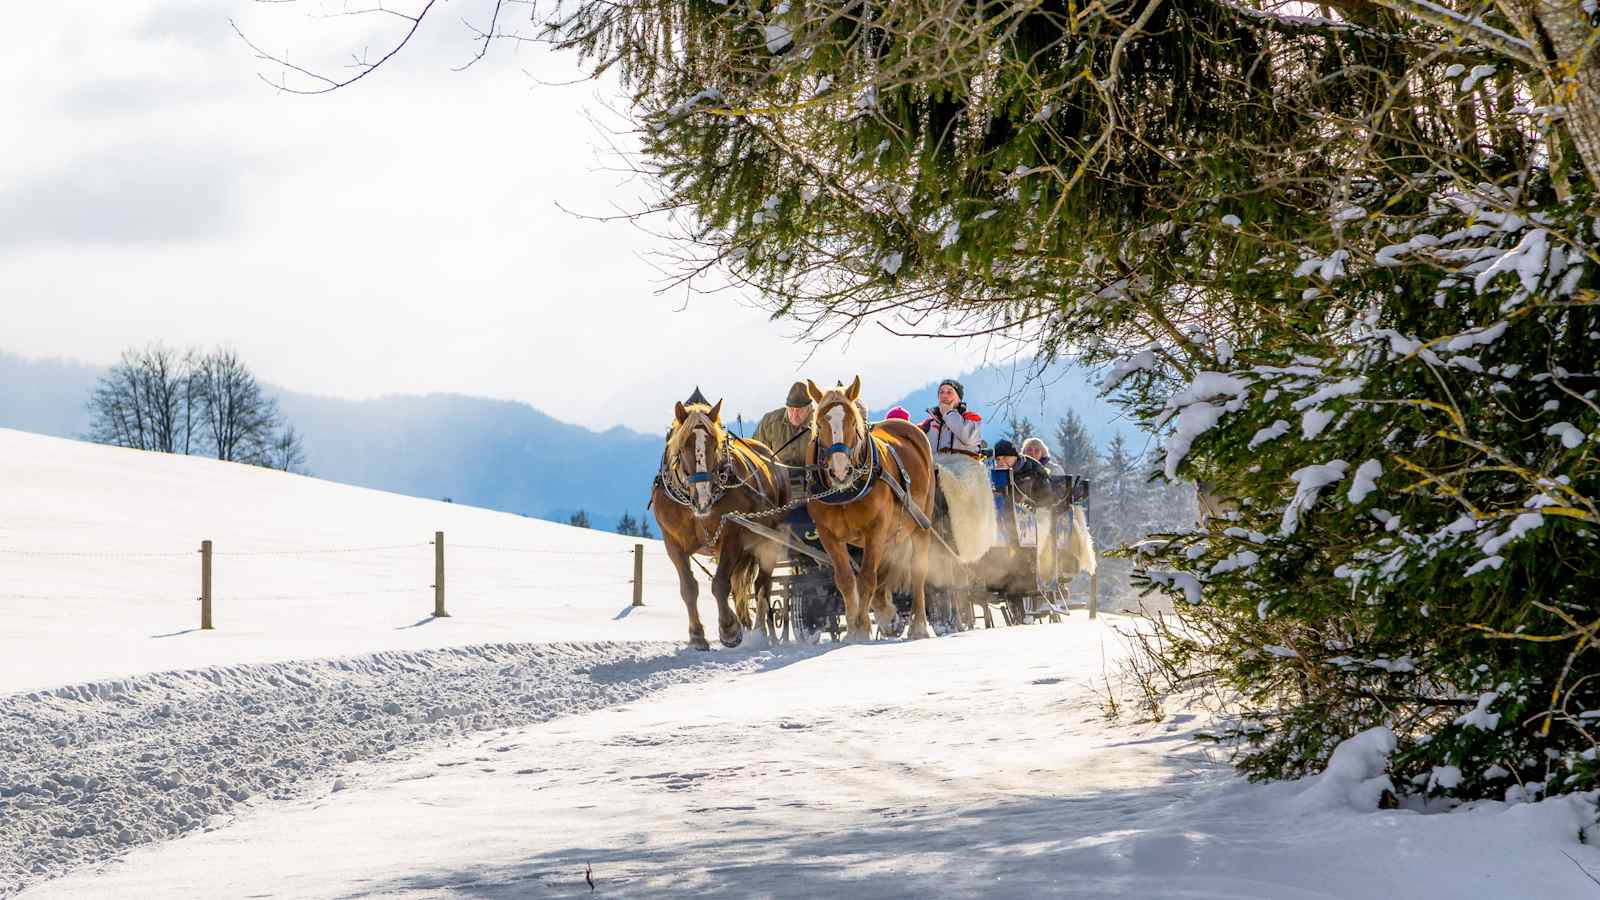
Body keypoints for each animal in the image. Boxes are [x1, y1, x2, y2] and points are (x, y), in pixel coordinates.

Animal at [649, 392, 787, 643]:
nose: (703, 497)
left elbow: (720, 584)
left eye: (715, 444)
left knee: (762, 585)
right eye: (683, 445)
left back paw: (762, 631)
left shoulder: (732, 535)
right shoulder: (672, 543)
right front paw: (697, 635)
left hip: (769, 541)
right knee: (743, 585)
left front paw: (729, 628)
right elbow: (689, 588)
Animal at [800, 374, 934, 640]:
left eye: (853, 422)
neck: (844, 493)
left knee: (917, 572)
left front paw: (862, 627)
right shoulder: (828, 535)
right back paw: (887, 614)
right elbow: (845, 579)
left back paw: (918, 626)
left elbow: (866, 579)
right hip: (892, 535)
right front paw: (854, 627)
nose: (840, 471)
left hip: (919, 524)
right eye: (819, 424)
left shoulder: (876, 529)